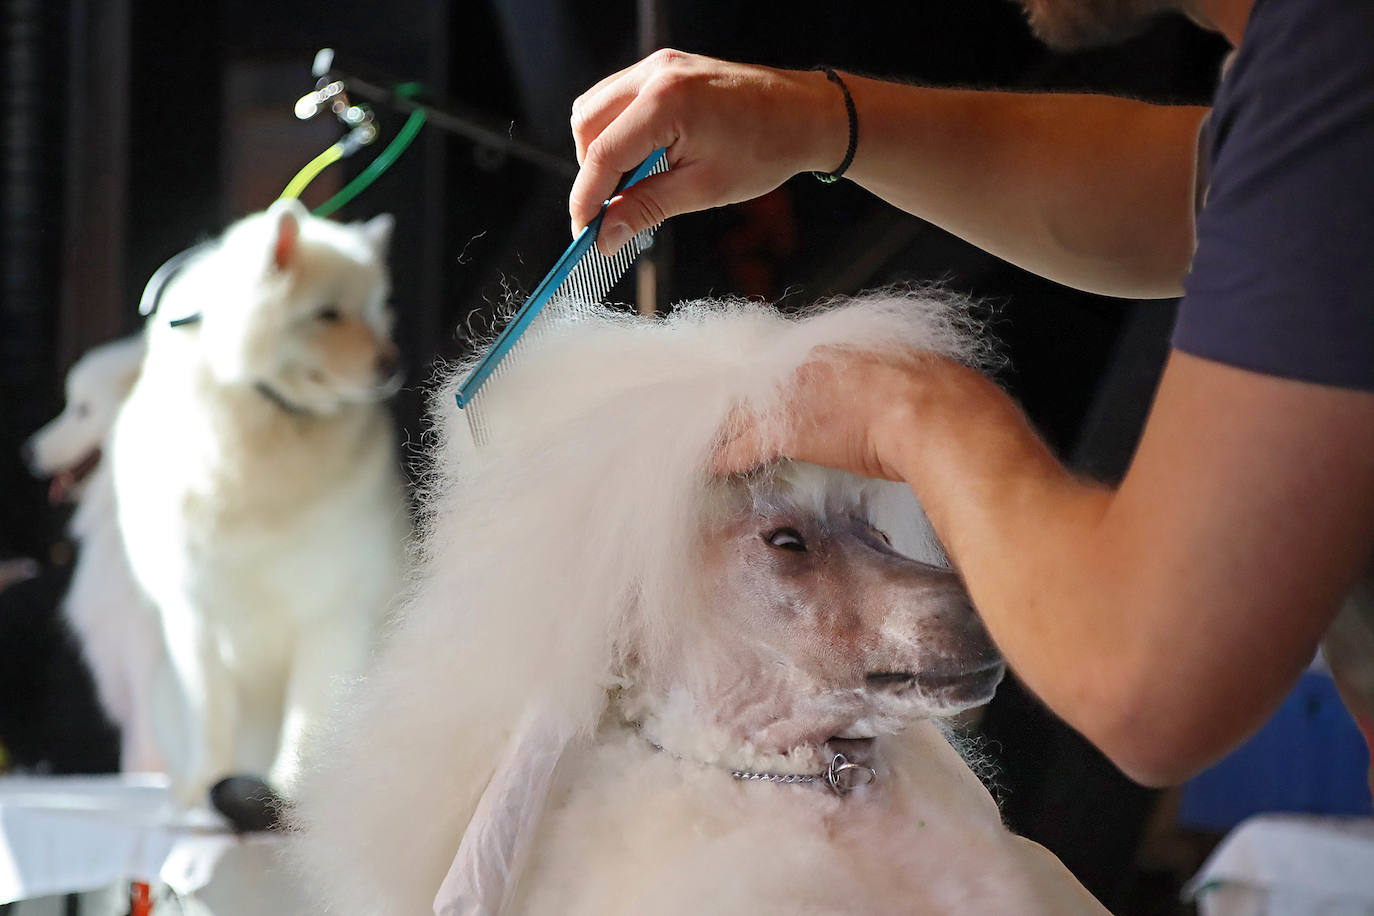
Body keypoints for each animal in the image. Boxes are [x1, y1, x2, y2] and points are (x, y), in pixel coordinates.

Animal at [109, 200, 409, 802]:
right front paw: (201, 792)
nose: (393, 365)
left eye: (375, 311)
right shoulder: (195, 613)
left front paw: (291, 791)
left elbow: (310, 720)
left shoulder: (332, 613)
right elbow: (211, 715)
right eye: (328, 314)